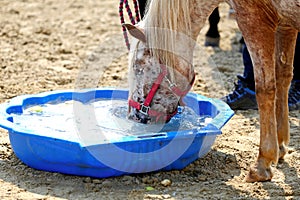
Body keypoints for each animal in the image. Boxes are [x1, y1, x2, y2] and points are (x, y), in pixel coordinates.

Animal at [123, 0, 298, 182]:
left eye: (138, 68)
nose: (133, 117)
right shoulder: (286, 25)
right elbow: (283, 77)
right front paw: (280, 146)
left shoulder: (254, 19)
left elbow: (265, 88)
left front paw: (262, 163)